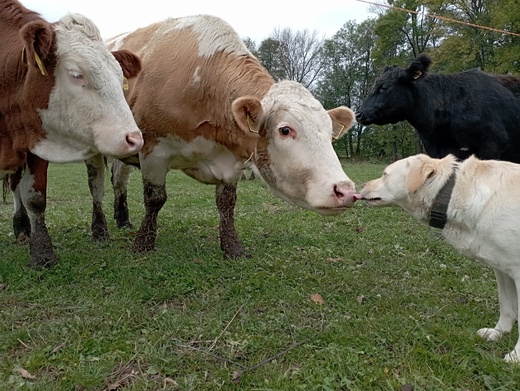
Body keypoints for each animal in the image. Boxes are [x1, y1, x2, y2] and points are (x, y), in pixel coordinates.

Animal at [1, 0, 143, 268]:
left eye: (120, 77)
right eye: (76, 74)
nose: (134, 139)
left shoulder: (36, 141)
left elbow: (35, 198)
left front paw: (42, 252)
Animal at [91, 15, 358, 258]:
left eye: (329, 132)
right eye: (285, 129)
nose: (345, 191)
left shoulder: (233, 159)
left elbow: (227, 203)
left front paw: (232, 247)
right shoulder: (154, 152)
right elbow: (155, 199)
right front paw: (143, 245)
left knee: (119, 182)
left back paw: (123, 219)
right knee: (97, 188)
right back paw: (99, 231)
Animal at [360, 155, 520, 362]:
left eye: (385, 174)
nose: (360, 185)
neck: (452, 193)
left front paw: (516, 356)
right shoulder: (502, 269)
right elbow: (506, 305)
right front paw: (498, 333)